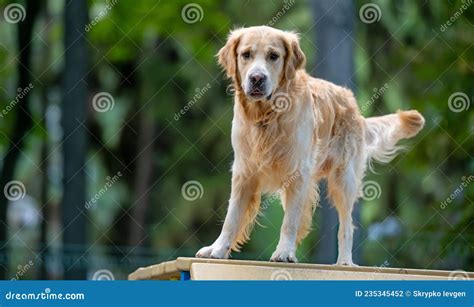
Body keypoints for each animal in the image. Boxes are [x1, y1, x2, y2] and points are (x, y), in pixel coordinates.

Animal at [194, 26, 424, 266]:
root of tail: (352, 103)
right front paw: (217, 248)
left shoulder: (298, 173)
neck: (267, 116)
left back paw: (344, 261)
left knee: (346, 226)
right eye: (246, 54)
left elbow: (289, 222)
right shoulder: (244, 172)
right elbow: (231, 217)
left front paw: (284, 253)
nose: (257, 78)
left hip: (344, 179)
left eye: (273, 56)